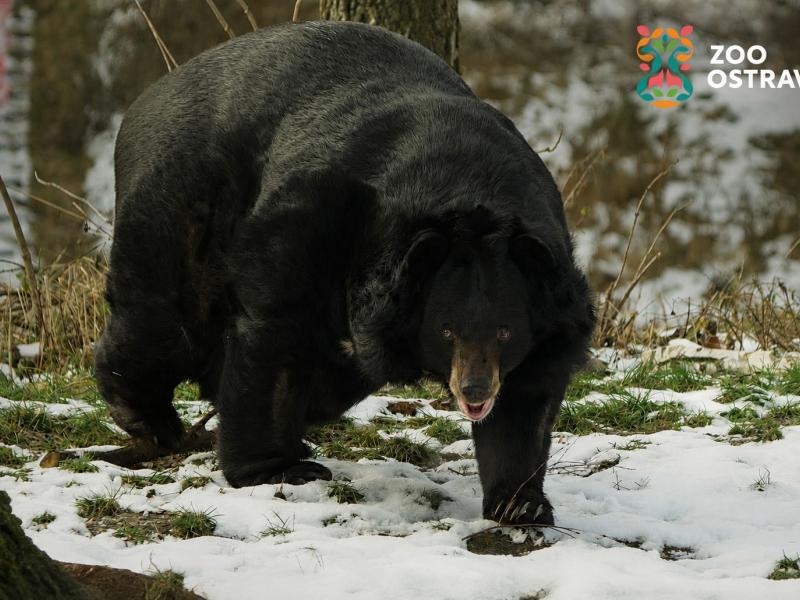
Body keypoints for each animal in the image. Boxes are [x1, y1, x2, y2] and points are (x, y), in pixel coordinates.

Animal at [94, 20, 595, 526]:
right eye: (446, 330)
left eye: (506, 332)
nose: (474, 390)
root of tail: (149, 97)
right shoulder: (314, 221)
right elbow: (274, 332)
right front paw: (276, 468)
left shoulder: (548, 306)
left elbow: (525, 401)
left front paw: (521, 504)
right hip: (182, 200)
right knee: (162, 319)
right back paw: (151, 419)